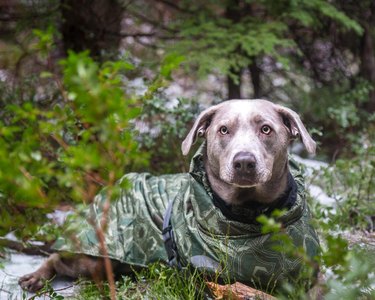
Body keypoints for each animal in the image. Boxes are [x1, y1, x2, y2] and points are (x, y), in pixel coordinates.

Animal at [19, 99, 320, 292]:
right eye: (223, 130)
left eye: (266, 129)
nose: (244, 162)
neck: (252, 215)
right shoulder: (203, 279)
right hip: (95, 258)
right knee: (58, 257)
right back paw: (36, 277)